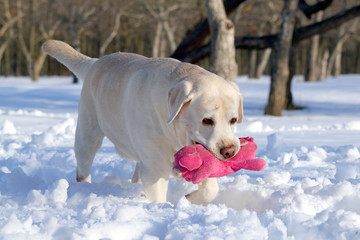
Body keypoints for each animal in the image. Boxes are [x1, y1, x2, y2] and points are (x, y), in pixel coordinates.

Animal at [43, 40, 245, 205]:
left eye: (233, 120)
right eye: (207, 120)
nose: (230, 150)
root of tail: (94, 62)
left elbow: (211, 188)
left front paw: (190, 198)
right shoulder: (156, 169)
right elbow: (158, 196)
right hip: (88, 133)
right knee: (83, 167)